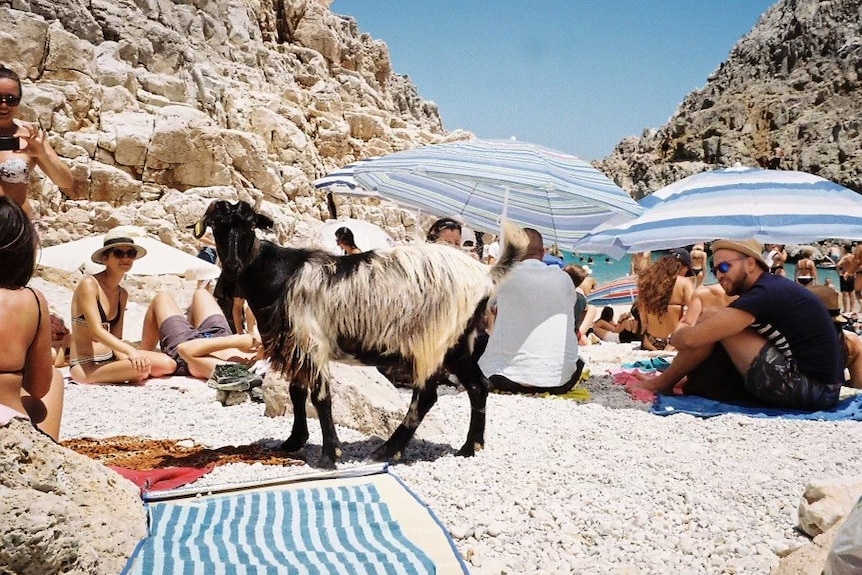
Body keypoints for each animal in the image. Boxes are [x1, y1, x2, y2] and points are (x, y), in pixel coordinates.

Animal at [196, 200, 528, 470]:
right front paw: (294, 441)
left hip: (432, 341)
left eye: (250, 225)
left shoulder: (312, 341)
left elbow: (319, 397)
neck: (281, 275)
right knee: (478, 386)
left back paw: (387, 451)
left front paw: (329, 456)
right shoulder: (296, 344)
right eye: (216, 225)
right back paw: (470, 447)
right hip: (459, 344)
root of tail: (485, 276)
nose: (233, 265)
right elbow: (296, 391)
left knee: (426, 397)